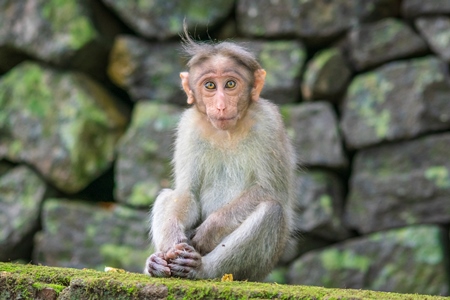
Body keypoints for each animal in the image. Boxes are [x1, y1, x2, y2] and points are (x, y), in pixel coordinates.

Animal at [144, 28, 298, 282]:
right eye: (209, 86)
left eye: (230, 84)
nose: (221, 105)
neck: (227, 132)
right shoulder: (189, 126)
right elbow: (187, 193)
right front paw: (172, 242)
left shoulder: (269, 122)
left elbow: (270, 190)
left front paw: (208, 232)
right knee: (168, 194)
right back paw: (156, 264)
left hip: (259, 268)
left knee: (271, 211)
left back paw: (201, 269)